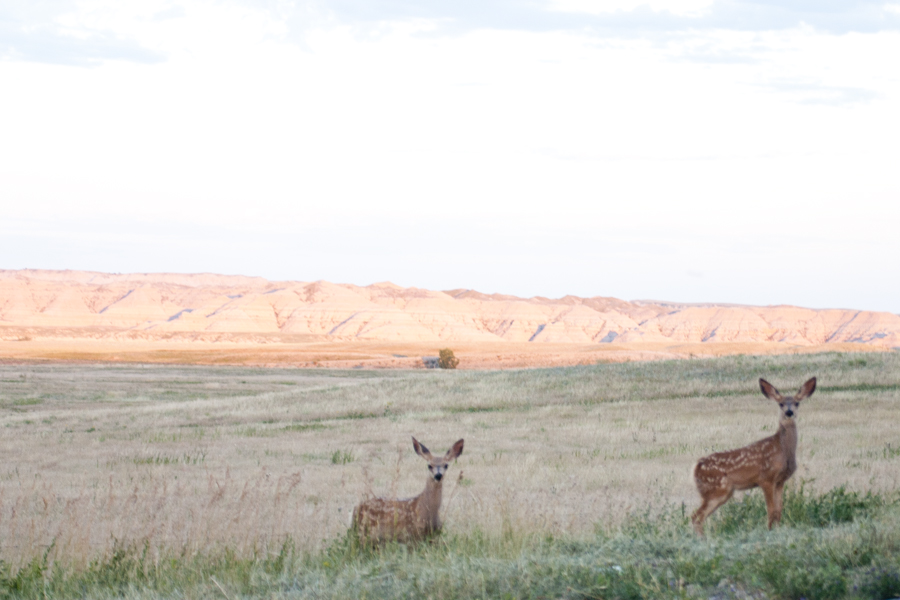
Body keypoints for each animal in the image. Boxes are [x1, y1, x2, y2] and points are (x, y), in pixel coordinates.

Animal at [691, 377, 816, 535]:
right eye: (781, 403)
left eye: (797, 403)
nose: (789, 412)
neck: (782, 449)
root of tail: (696, 468)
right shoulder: (766, 478)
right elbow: (771, 510)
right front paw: (769, 531)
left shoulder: (780, 481)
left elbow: (779, 511)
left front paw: (777, 530)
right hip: (716, 489)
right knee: (696, 516)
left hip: (721, 492)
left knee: (698, 516)